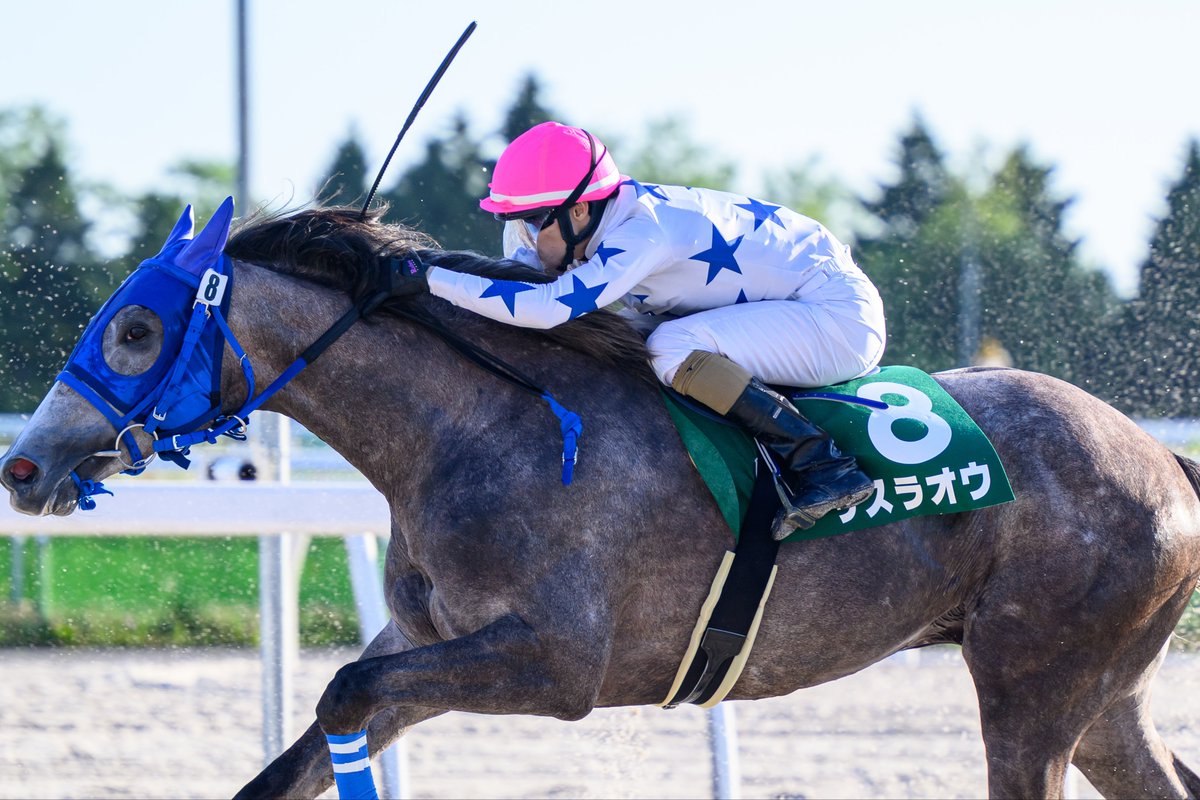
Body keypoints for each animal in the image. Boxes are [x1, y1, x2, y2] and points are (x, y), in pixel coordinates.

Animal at [4, 200, 1200, 800]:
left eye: (137, 329)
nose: (23, 466)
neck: (480, 430)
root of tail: (1159, 455)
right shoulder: (428, 644)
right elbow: (317, 730)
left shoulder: (562, 665)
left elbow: (342, 689)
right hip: (1101, 694)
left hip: (1035, 682)